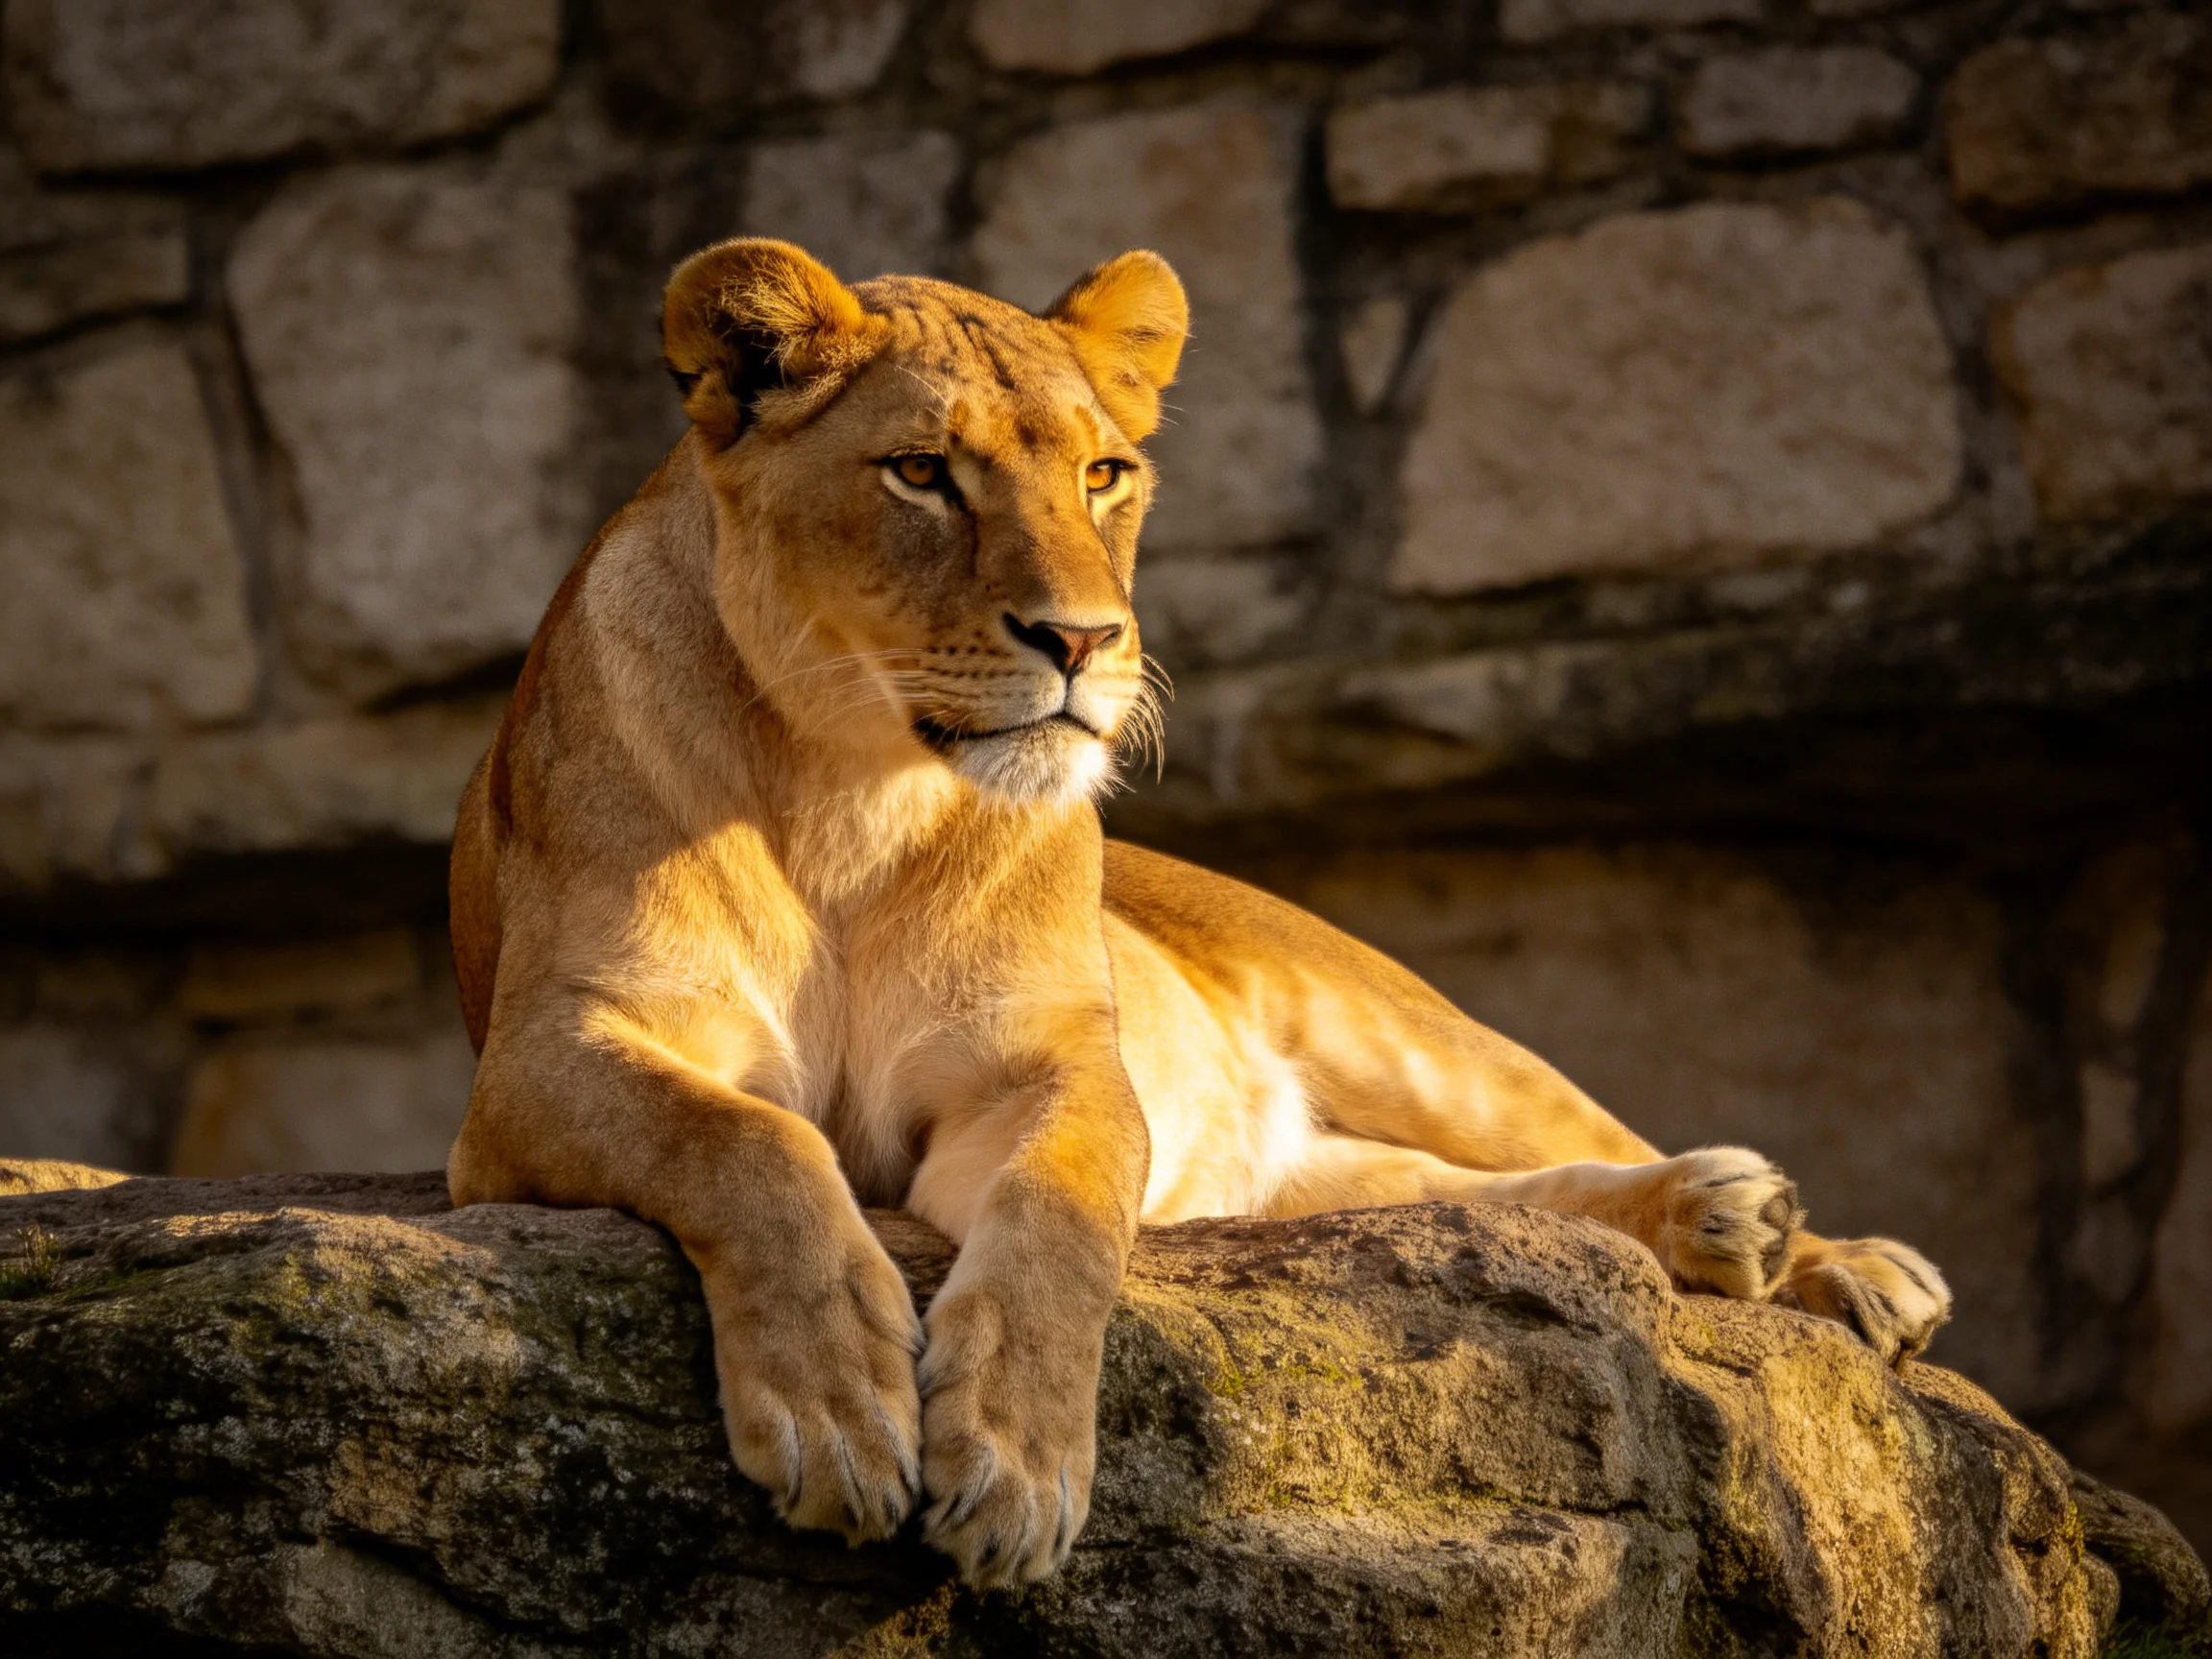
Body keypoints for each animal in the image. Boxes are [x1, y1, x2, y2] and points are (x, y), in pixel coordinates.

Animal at [446, 237, 1951, 1588]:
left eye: (1102, 474)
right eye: (922, 473)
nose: (1082, 641)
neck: (851, 789)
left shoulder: (1053, 1063)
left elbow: (1057, 1221)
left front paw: (1014, 1467)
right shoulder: (545, 1057)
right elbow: (745, 1140)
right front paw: (835, 1411)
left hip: (1401, 1030)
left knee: (1560, 1140)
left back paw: (1813, 1249)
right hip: (1292, 1186)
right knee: (1465, 1206)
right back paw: (1727, 1225)